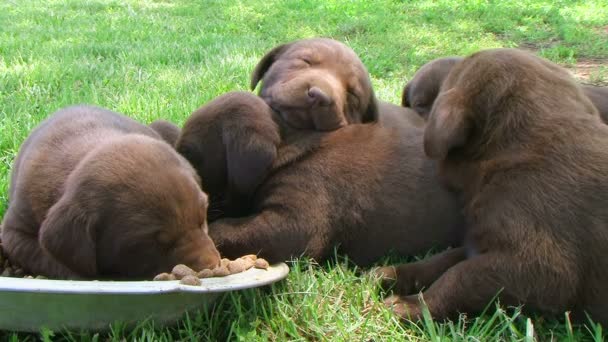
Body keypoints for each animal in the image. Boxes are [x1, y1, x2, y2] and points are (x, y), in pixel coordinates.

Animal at [380, 48, 608, 326]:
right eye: (419, 106)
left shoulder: (539, 268)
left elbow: (459, 277)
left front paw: (411, 306)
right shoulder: (481, 241)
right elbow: (444, 259)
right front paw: (394, 273)